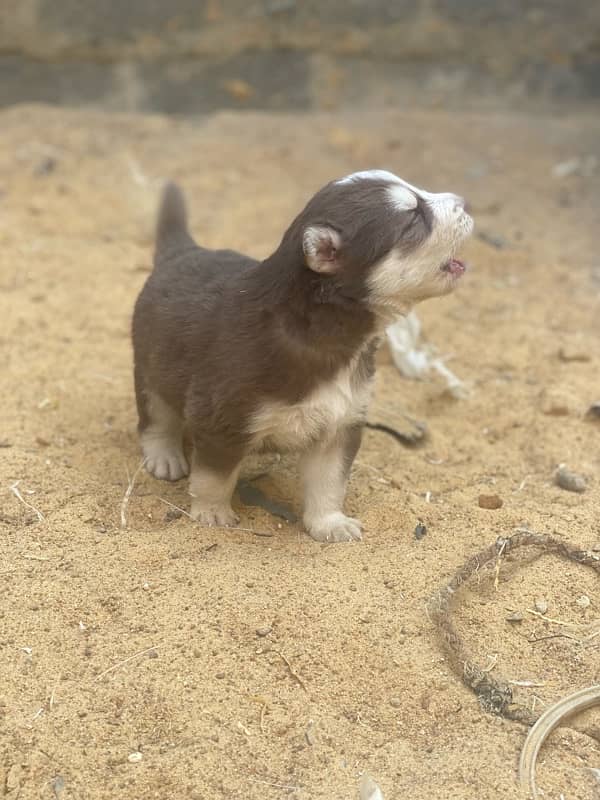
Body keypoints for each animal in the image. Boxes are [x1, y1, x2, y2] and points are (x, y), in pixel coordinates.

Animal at [131, 170, 474, 544]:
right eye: (413, 218)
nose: (466, 201)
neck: (322, 330)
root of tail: (185, 250)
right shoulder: (220, 419)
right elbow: (213, 477)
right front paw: (212, 514)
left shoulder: (340, 423)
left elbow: (329, 483)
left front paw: (331, 523)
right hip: (149, 369)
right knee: (156, 419)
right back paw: (165, 456)